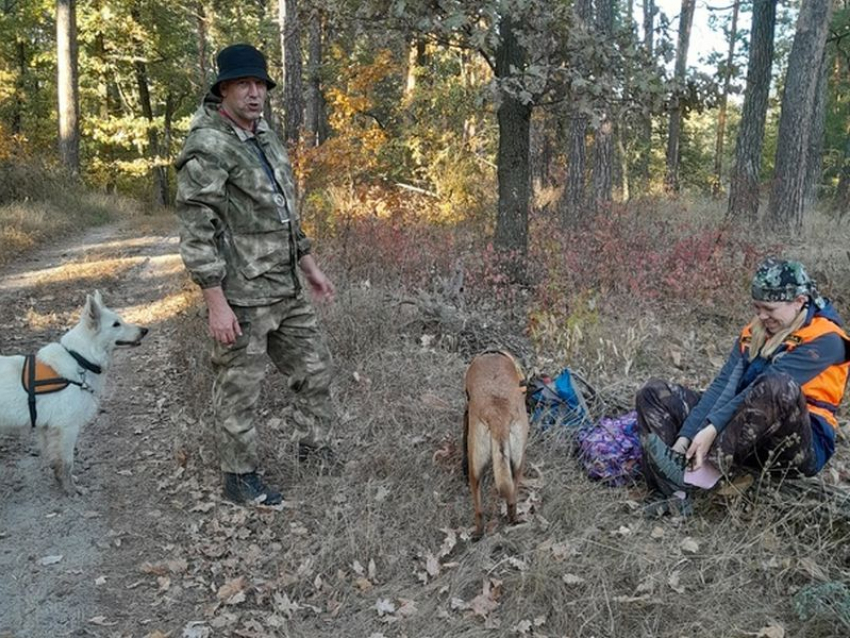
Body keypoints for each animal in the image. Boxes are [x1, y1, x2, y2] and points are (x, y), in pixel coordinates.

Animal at [0, 292, 147, 496]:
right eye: (116, 324)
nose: (145, 330)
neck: (80, 359)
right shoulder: (67, 428)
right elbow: (67, 463)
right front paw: (71, 490)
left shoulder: (47, 429)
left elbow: (54, 460)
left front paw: (62, 482)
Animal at [460, 352, 528, 536]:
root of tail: (498, 416)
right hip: (518, 463)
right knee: (512, 500)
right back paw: (512, 521)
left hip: (475, 466)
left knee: (479, 510)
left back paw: (478, 533)